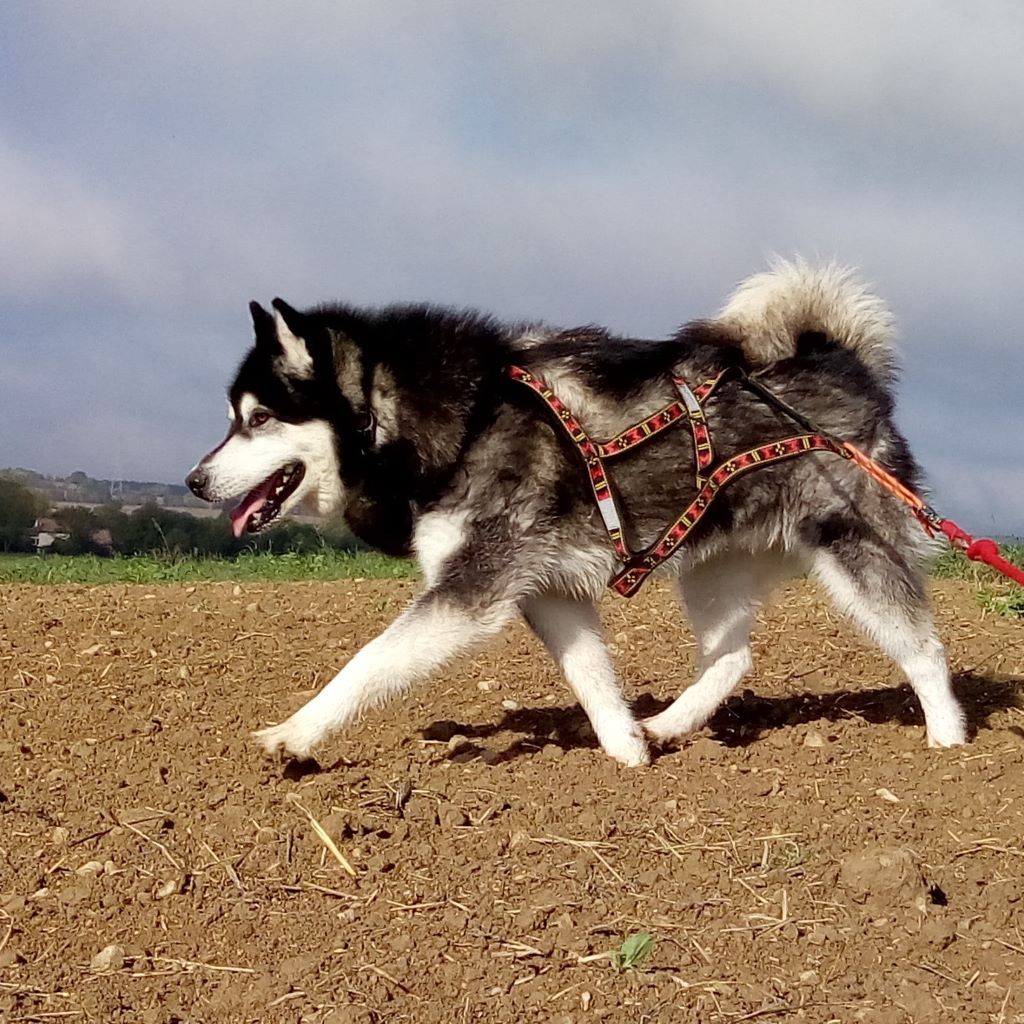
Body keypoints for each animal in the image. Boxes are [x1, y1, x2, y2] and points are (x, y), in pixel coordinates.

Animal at [190, 260, 966, 765]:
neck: (461, 419)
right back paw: (668, 725)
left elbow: (367, 661)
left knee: (923, 646)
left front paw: (295, 733)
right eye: (232, 419)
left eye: (259, 419)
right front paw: (625, 752)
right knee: (733, 657)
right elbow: (592, 678)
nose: (196, 481)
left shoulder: (473, 590)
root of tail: (844, 364)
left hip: (853, 549)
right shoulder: (547, 591)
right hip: (710, 567)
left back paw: (949, 742)